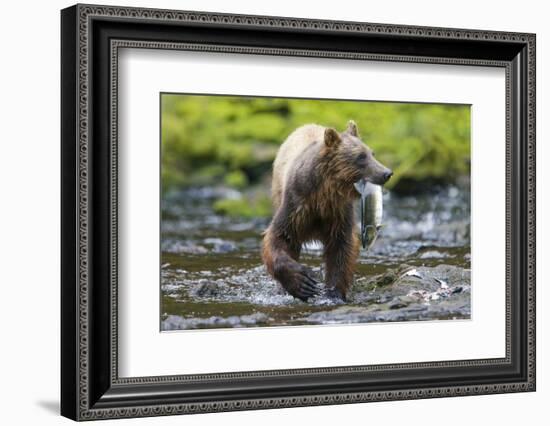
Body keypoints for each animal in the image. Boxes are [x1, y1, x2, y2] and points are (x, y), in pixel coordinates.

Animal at [262, 119, 392, 300]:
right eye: (361, 156)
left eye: (372, 153)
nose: (387, 173)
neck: (323, 195)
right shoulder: (297, 205)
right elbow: (279, 237)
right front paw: (302, 282)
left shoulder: (338, 212)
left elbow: (341, 248)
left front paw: (333, 291)